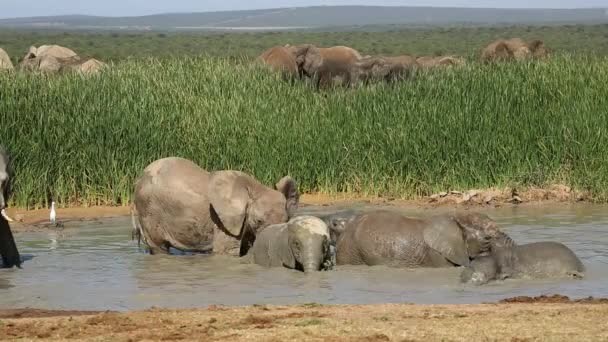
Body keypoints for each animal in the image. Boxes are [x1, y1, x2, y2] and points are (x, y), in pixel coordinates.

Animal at [135, 156, 302, 255]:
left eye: (287, 221)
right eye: (258, 221)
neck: (254, 188)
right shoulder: (222, 220)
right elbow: (227, 251)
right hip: (149, 209)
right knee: (159, 247)